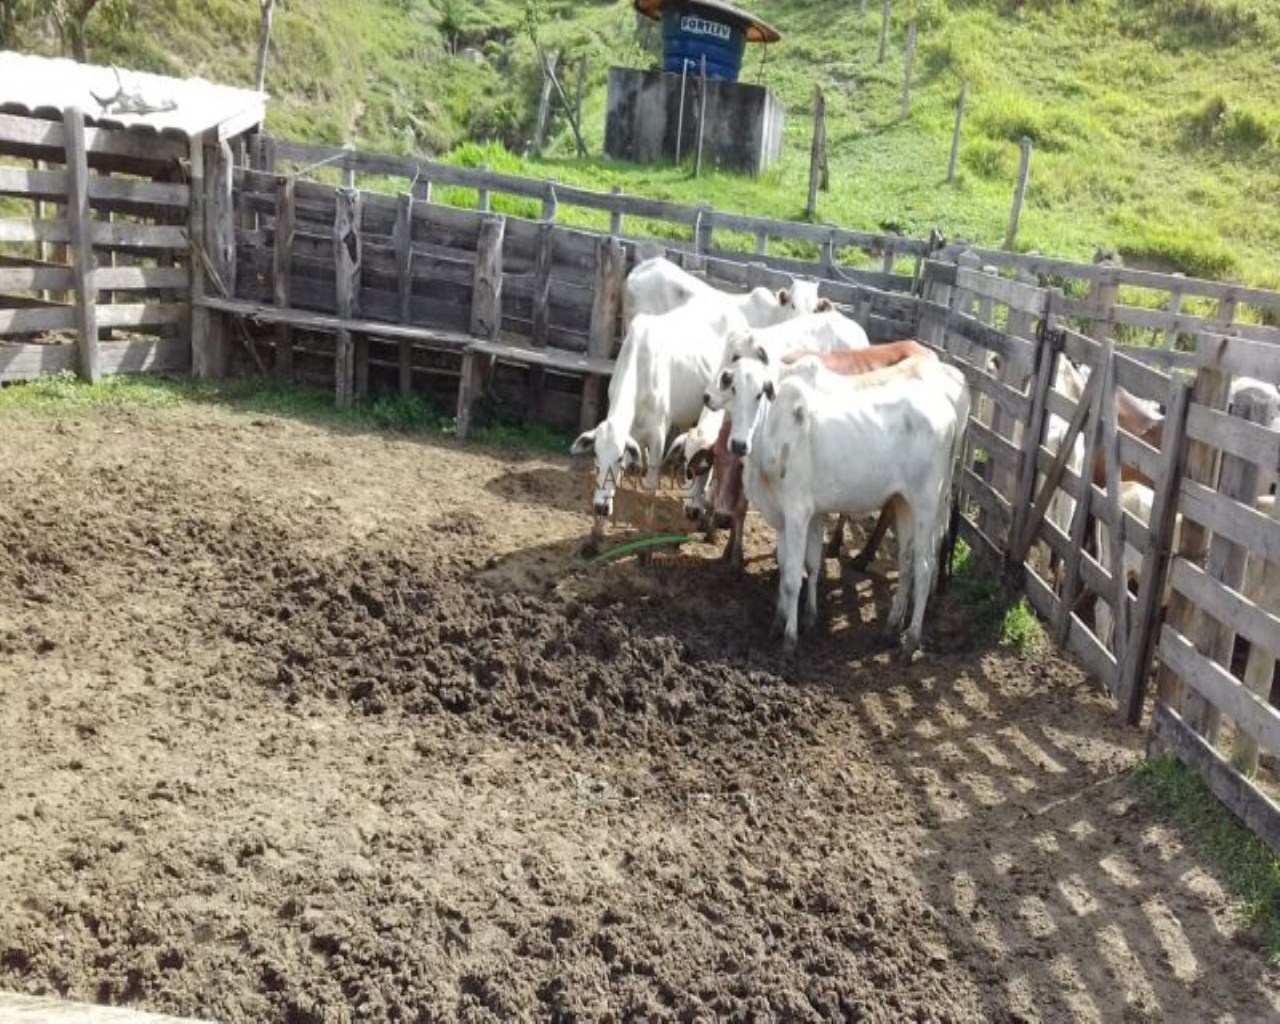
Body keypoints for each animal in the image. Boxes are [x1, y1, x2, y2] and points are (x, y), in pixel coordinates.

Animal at [727, 353, 962, 655]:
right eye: (732, 389)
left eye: (759, 395)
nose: (738, 444)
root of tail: (947, 411)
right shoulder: (781, 516)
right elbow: (788, 568)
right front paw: (780, 622)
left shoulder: (798, 513)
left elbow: (792, 577)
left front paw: (790, 639)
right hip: (903, 503)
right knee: (906, 564)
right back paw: (891, 627)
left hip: (926, 505)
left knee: (924, 568)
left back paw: (910, 641)